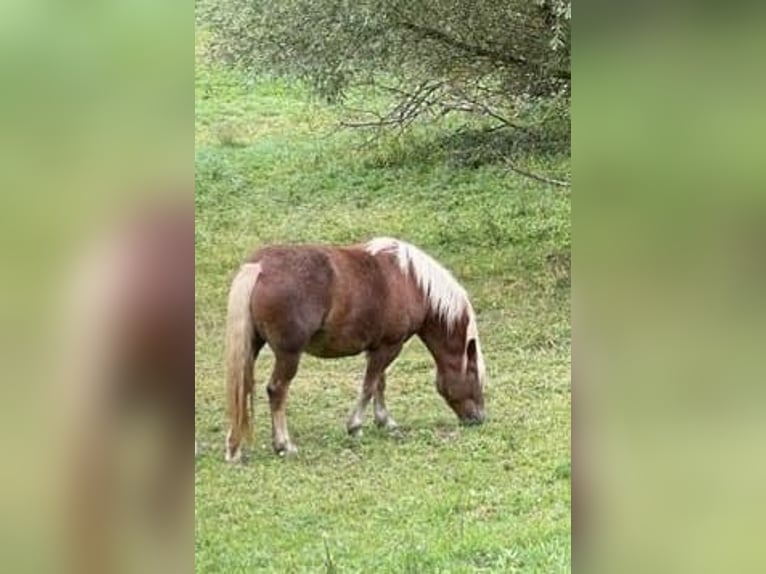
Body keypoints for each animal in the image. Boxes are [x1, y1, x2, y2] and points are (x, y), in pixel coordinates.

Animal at [224, 236, 487, 462]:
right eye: (474, 375)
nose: (479, 419)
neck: (411, 281)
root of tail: (260, 267)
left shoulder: (380, 347)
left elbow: (379, 384)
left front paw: (384, 421)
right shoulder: (390, 347)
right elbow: (369, 386)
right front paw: (355, 426)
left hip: (252, 348)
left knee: (241, 387)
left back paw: (234, 448)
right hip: (289, 355)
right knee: (276, 390)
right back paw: (283, 444)